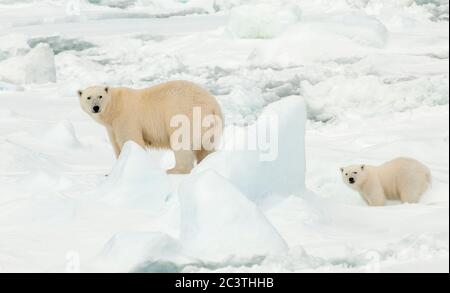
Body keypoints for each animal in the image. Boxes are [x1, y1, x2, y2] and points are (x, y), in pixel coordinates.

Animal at [79, 80, 225, 173]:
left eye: (100, 96)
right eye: (88, 97)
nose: (96, 107)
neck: (115, 107)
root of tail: (213, 106)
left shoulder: (126, 118)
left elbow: (131, 141)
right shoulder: (112, 128)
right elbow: (117, 146)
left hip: (185, 114)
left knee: (180, 141)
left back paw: (174, 170)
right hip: (210, 127)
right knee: (206, 147)